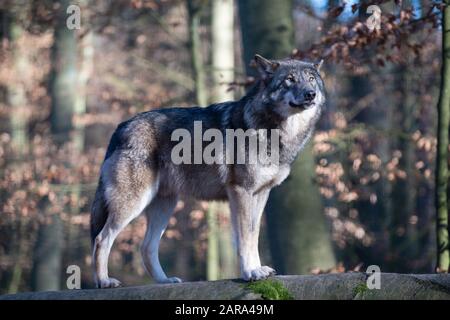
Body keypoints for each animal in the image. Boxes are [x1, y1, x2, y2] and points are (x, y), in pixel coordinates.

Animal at [89, 54, 326, 288]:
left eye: (311, 79)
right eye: (289, 80)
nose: (310, 94)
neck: (274, 132)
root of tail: (121, 127)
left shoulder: (260, 194)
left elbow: (252, 235)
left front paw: (257, 269)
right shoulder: (241, 193)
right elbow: (245, 238)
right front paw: (250, 272)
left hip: (165, 206)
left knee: (146, 247)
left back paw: (164, 281)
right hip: (133, 203)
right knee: (101, 239)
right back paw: (103, 281)